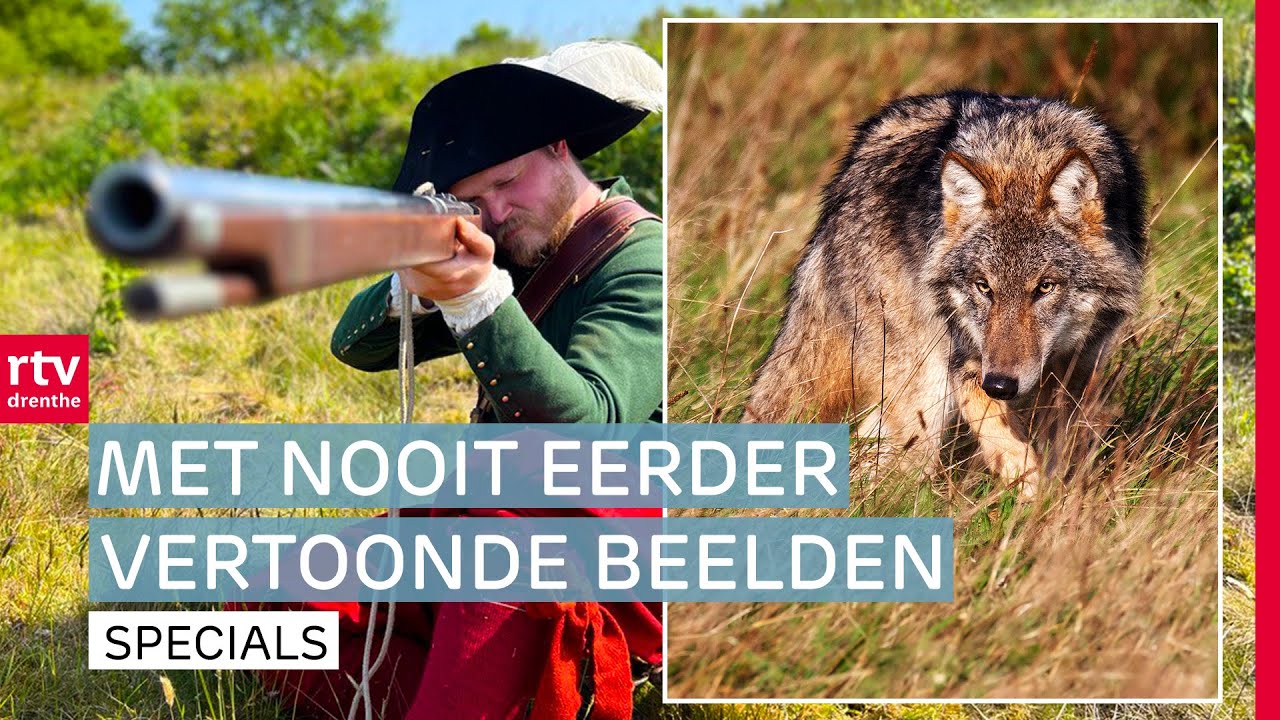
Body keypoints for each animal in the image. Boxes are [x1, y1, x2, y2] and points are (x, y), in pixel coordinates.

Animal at [743, 90, 1147, 497]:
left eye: (1045, 286)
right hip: (925, 397)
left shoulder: (1078, 370)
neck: (1022, 154)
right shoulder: (966, 362)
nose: (1000, 385)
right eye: (984, 286)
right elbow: (1010, 446)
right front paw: (1032, 490)